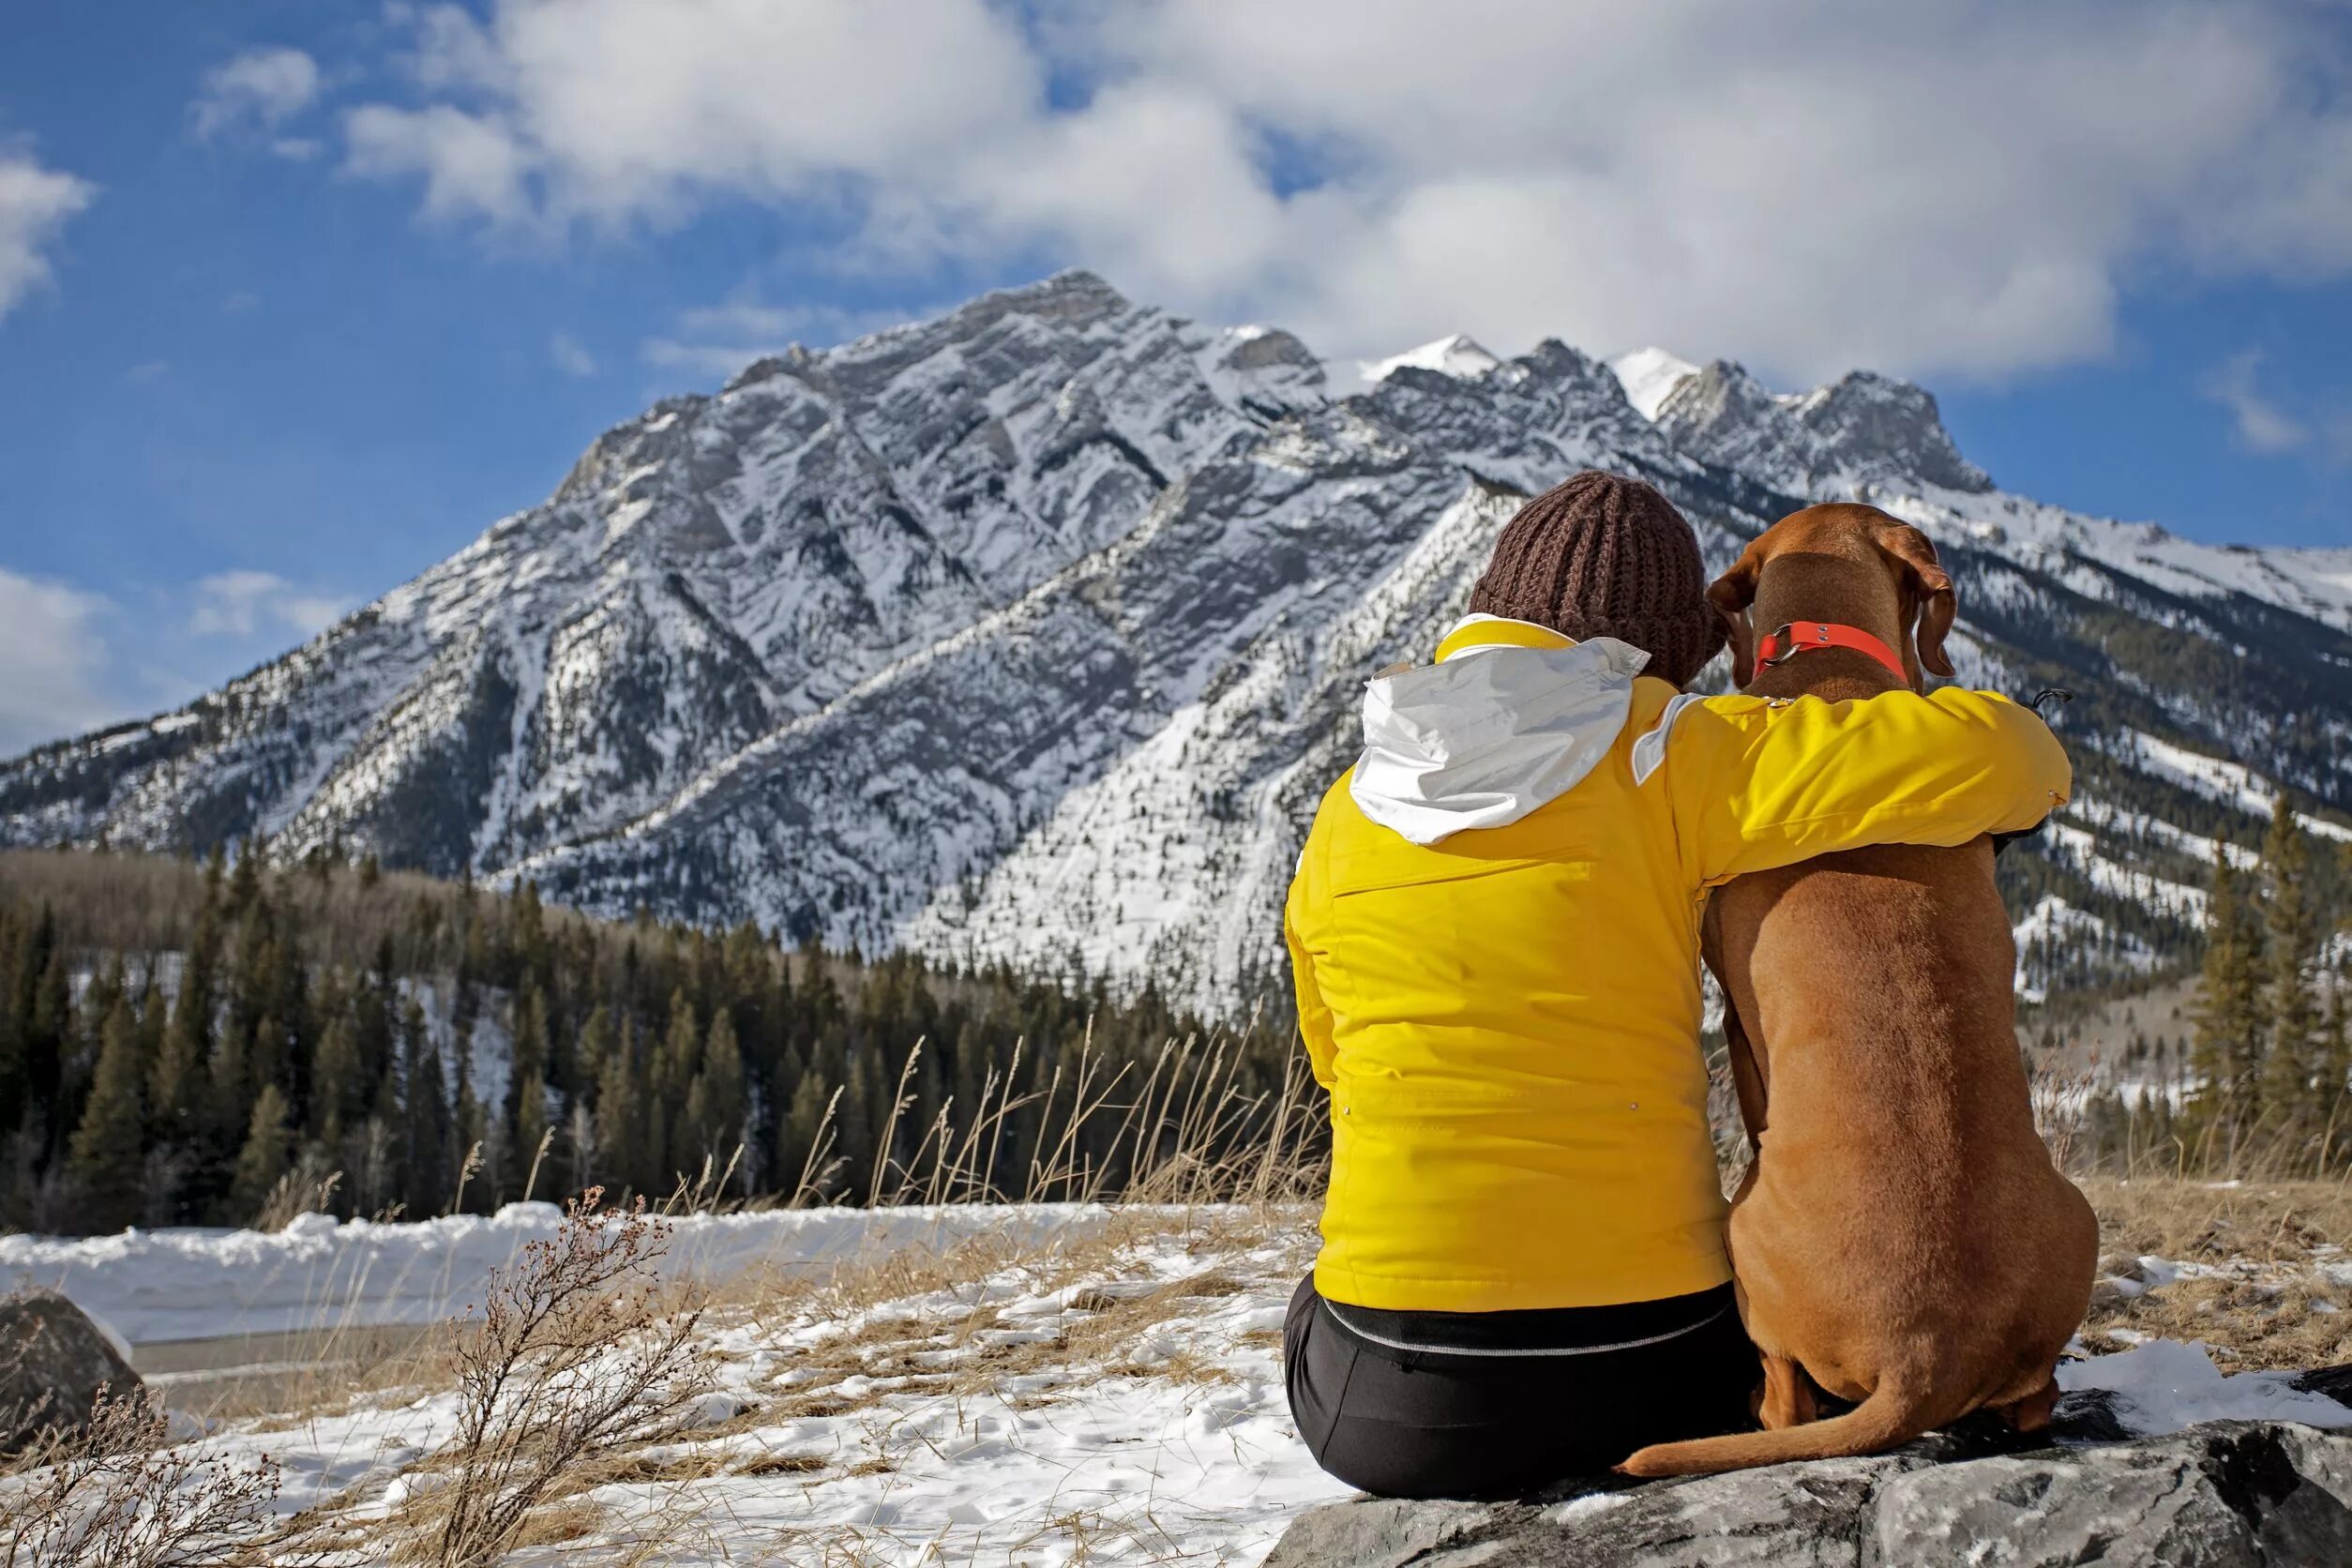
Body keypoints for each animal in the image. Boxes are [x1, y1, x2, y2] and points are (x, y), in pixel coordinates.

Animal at [1618, 505, 2098, 1485]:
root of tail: (1925, 1360)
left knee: (1787, 1391)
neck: (1829, 662)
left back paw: (1757, 1407)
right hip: (2084, 1220)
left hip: (1743, 1230)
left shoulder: (1739, 1023)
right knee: (2038, 1398)